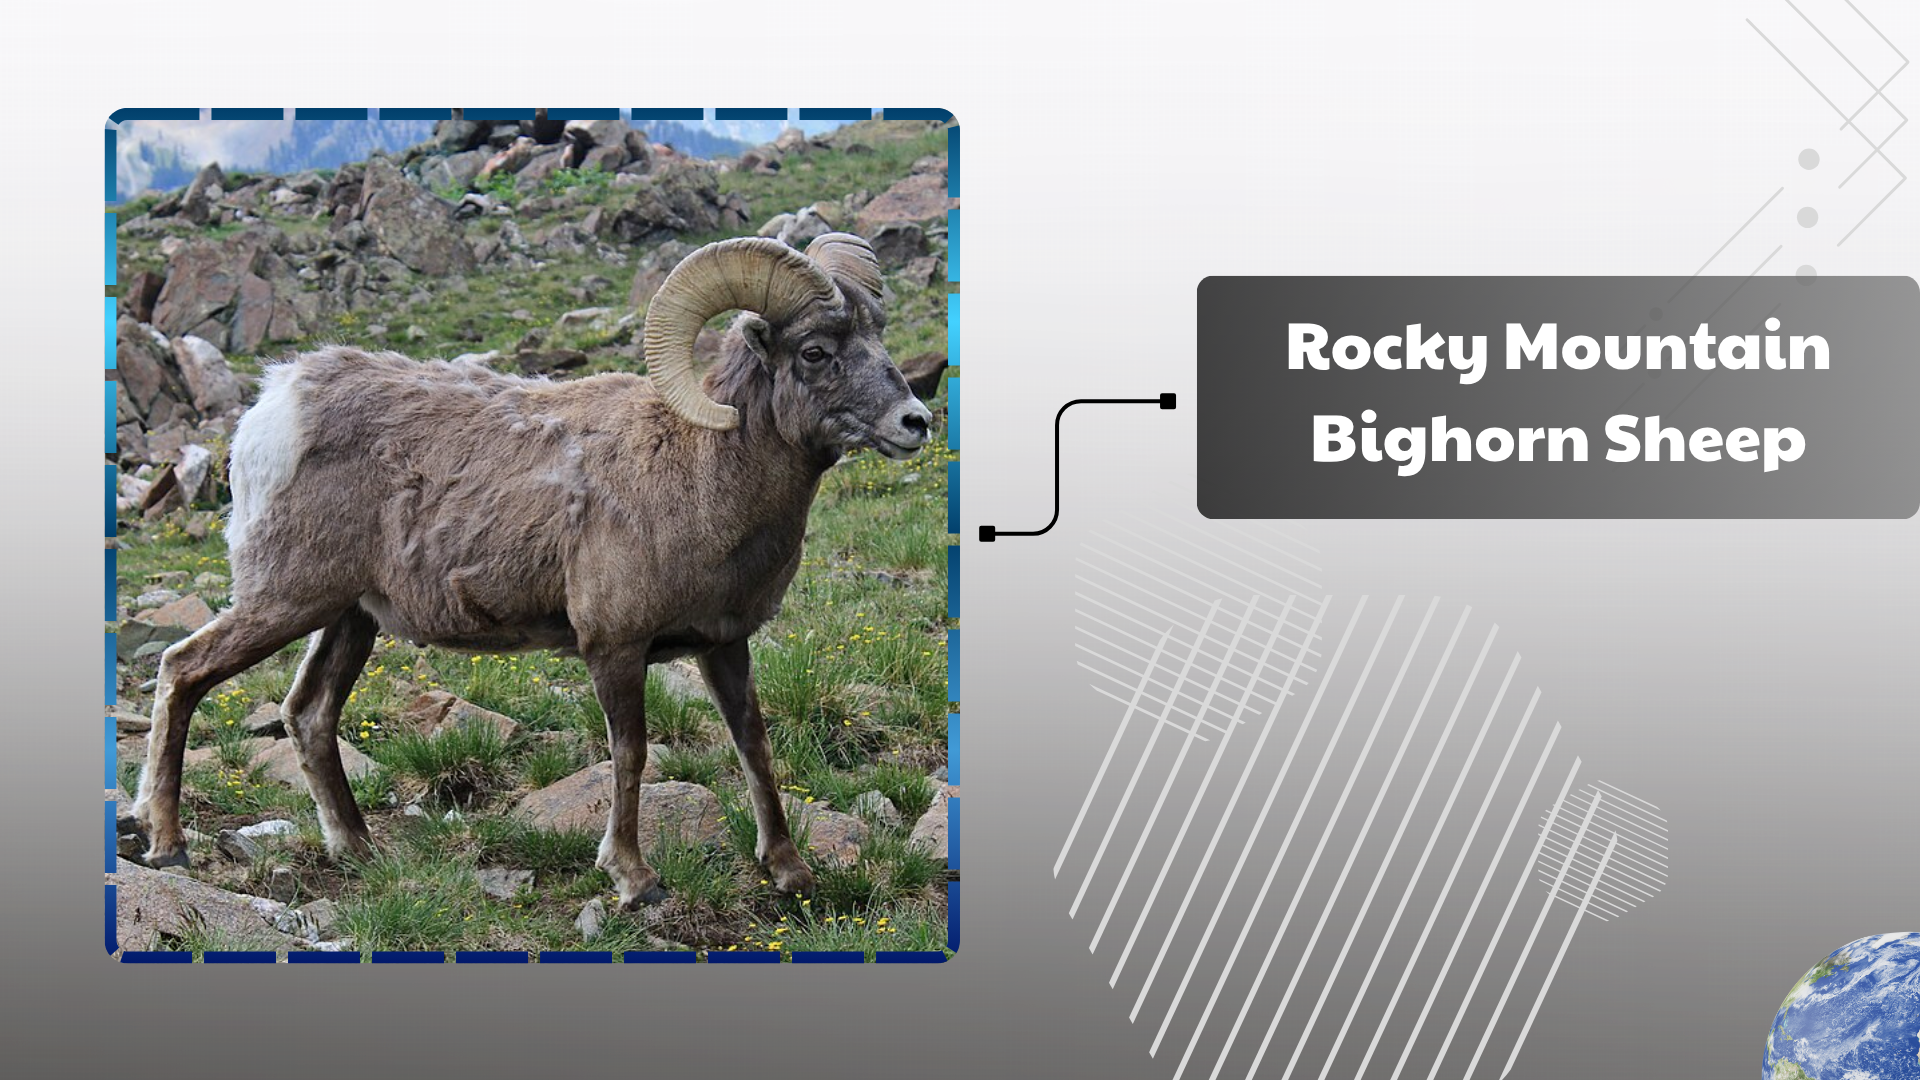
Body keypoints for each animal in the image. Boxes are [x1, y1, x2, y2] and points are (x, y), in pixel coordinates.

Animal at [130, 233, 934, 908]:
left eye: (877, 335)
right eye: (815, 352)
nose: (915, 423)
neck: (699, 473)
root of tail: (276, 407)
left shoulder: (724, 645)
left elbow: (754, 746)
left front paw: (791, 872)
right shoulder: (613, 647)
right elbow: (631, 754)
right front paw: (635, 880)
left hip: (349, 618)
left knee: (309, 713)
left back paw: (358, 850)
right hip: (283, 601)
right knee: (184, 670)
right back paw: (167, 846)